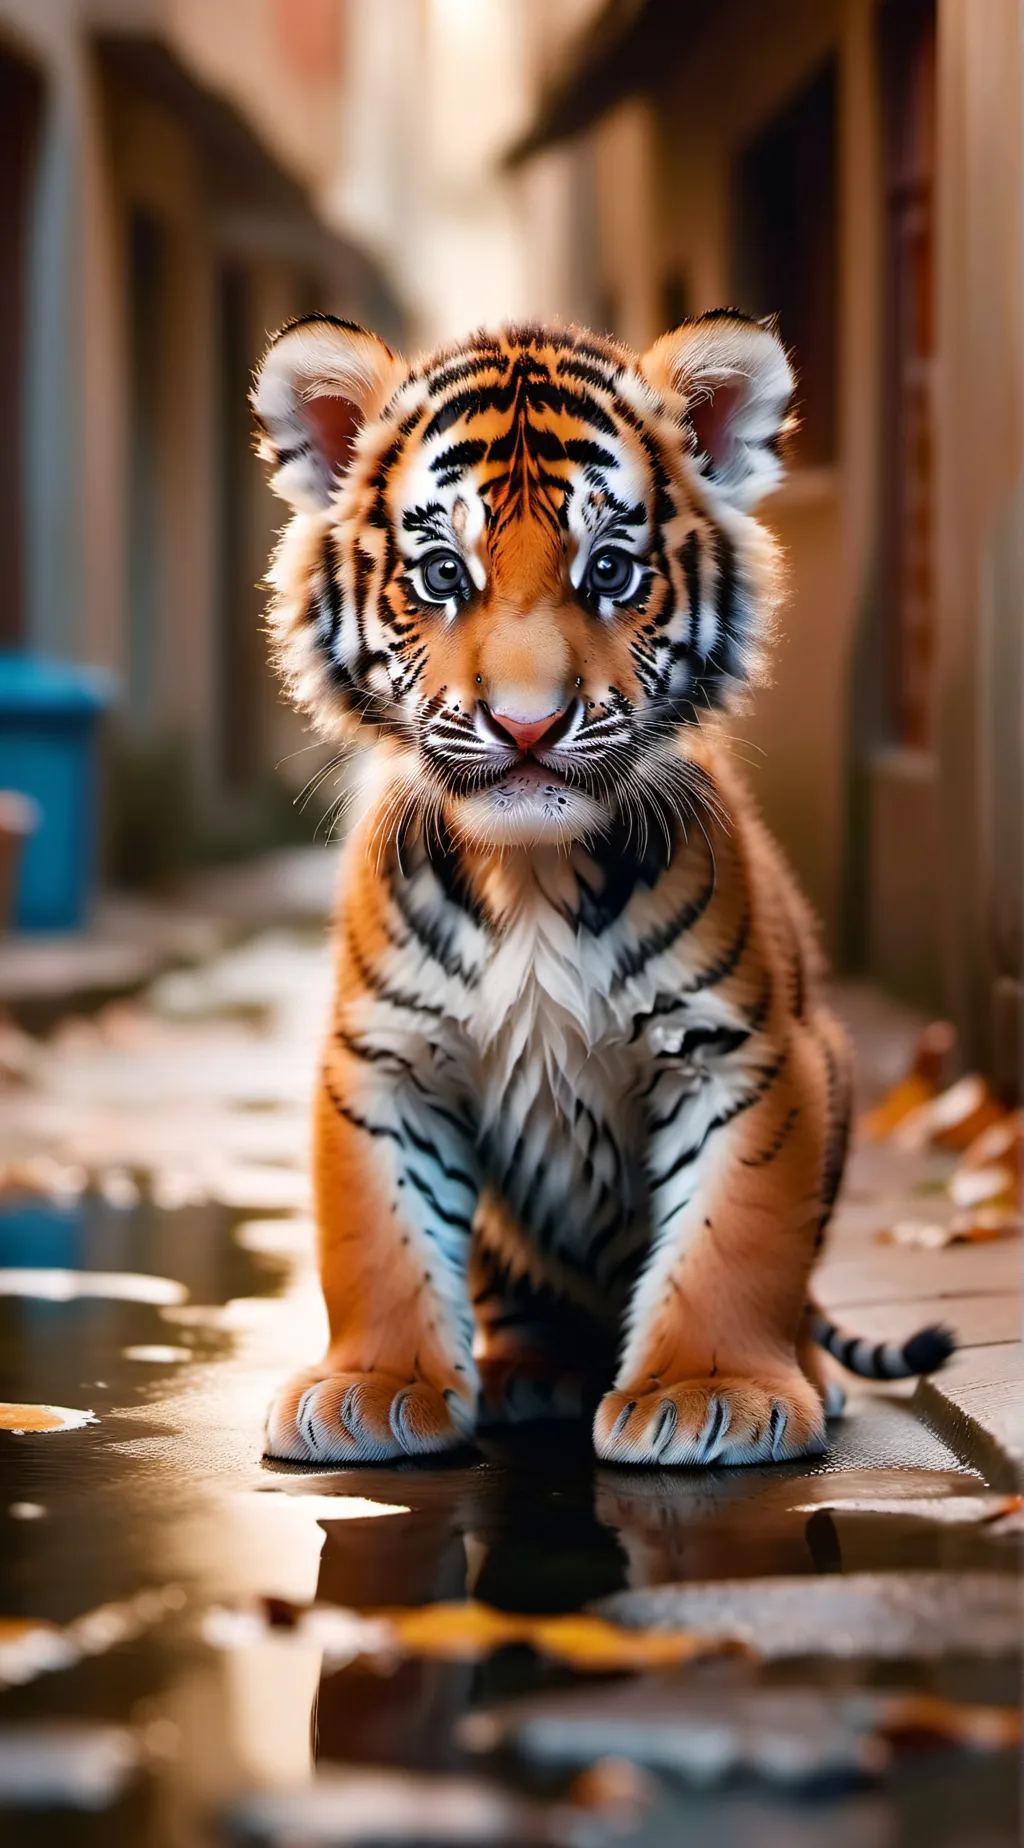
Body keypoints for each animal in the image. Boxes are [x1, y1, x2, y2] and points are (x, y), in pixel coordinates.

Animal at [252, 310, 954, 1467]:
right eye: (441, 574)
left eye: (612, 570)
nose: (528, 724)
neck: (531, 867)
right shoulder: (386, 1058)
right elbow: (375, 1236)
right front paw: (374, 1386)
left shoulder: (744, 1052)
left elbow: (736, 1235)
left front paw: (710, 1391)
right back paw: (526, 1372)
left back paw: (802, 1376)